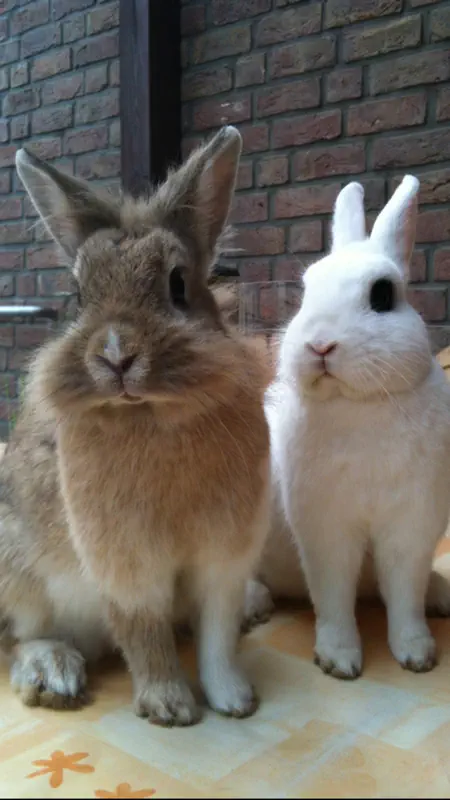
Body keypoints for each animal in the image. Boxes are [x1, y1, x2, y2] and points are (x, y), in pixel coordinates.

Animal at [0, 125, 272, 726]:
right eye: (80, 296)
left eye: (178, 284)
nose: (116, 356)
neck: (152, 413)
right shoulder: (126, 565)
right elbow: (144, 632)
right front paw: (170, 706)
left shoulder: (224, 559)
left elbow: (217, 636)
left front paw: (234, 699)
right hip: (16, 575)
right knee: (22, 637)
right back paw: (54, 672)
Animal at [245, 177, 450, 678]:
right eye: (305, 292)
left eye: (382, 296)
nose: (320, 344)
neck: (360, 403)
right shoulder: (326, 530)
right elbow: (334, 594)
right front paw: (340, 660)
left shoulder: (411, 526)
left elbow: (405, 595)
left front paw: (417, 654)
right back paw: (254, 605)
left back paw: (441, 596)